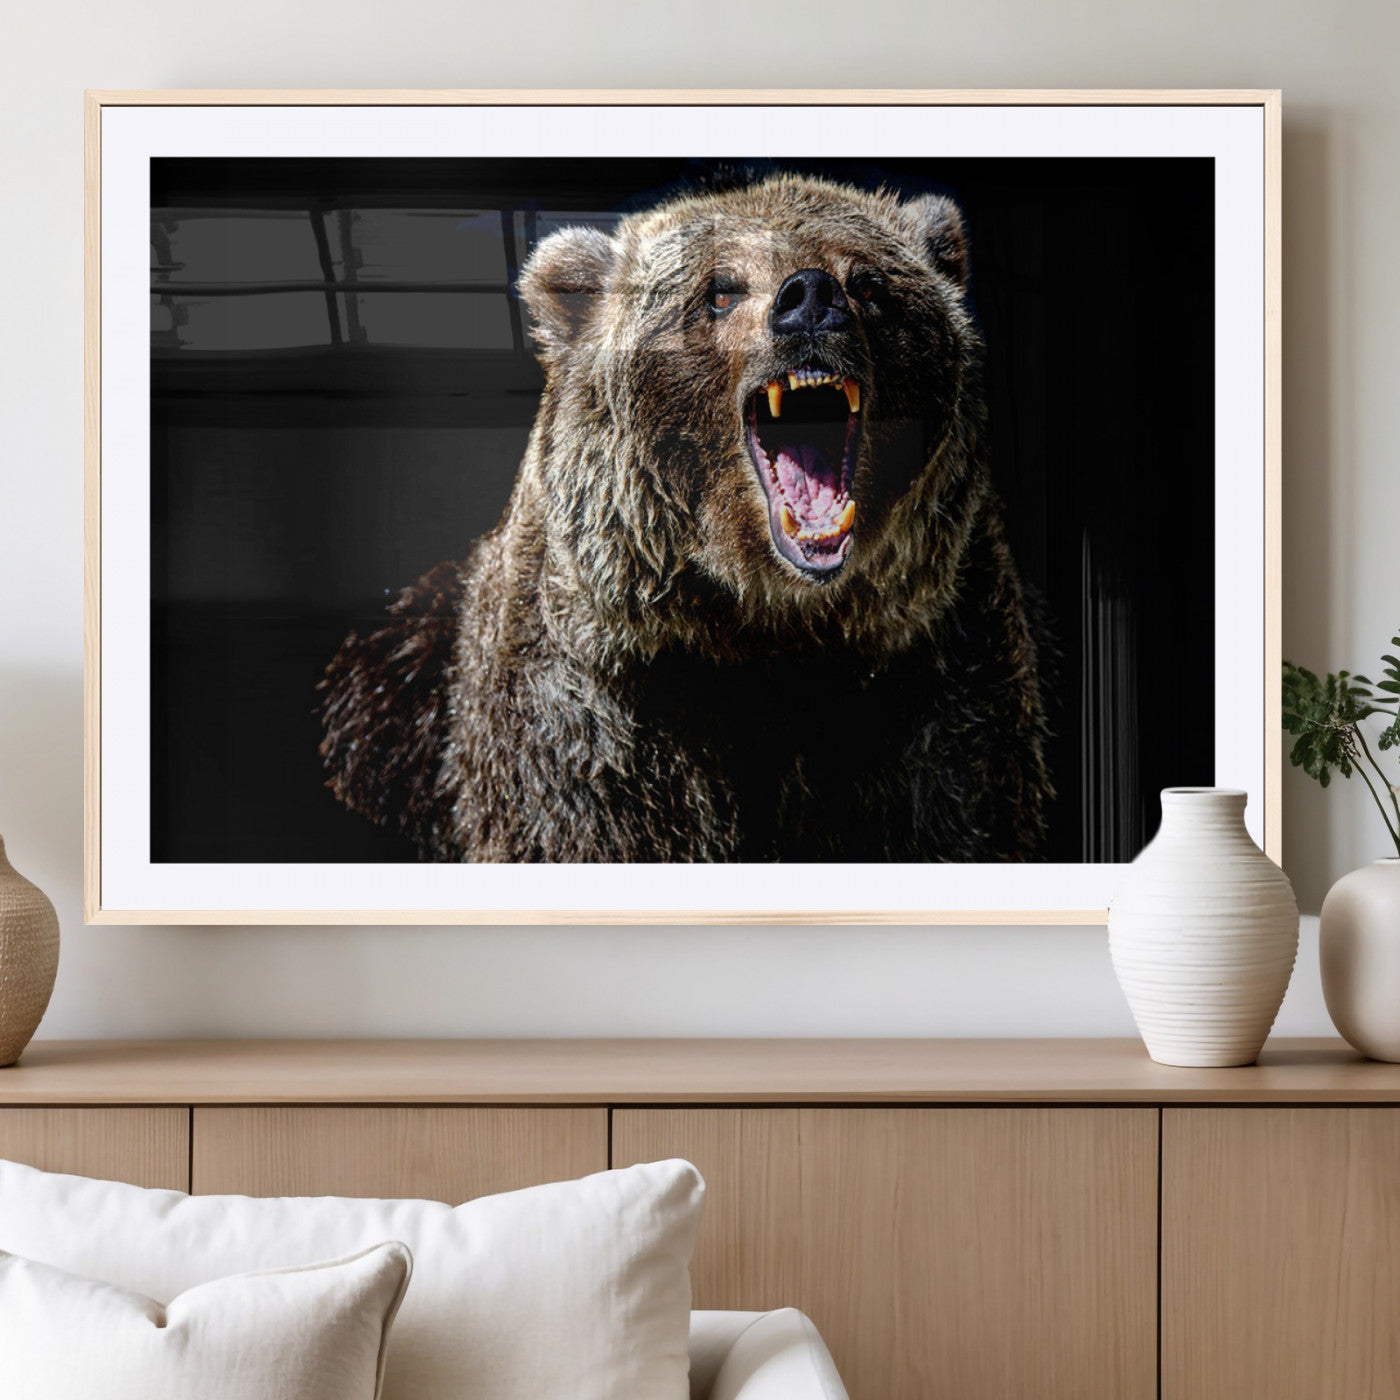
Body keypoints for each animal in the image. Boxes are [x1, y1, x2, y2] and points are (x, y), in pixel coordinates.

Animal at [319, 172, 1052, 863]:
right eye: (720, 290)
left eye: (868, 282)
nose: (811, 298)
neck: (767, 625)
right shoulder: (598, 712)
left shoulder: (935, 680)